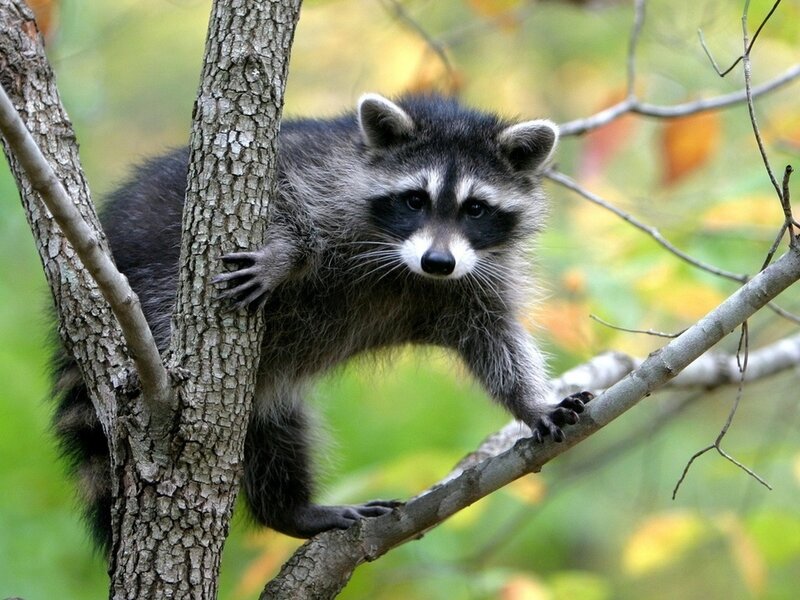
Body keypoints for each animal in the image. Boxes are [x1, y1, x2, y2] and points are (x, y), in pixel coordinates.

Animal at [52, 93, 589, 549]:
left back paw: (289, 510)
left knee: (275, 430)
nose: (438, 262)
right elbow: (284, 201)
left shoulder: (475, 279)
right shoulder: (320, 175)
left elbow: (495, 340)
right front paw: (283, 255)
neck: (407, 269)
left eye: (476, 208)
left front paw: (532, 402)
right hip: (156, 283)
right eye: (415, 199)